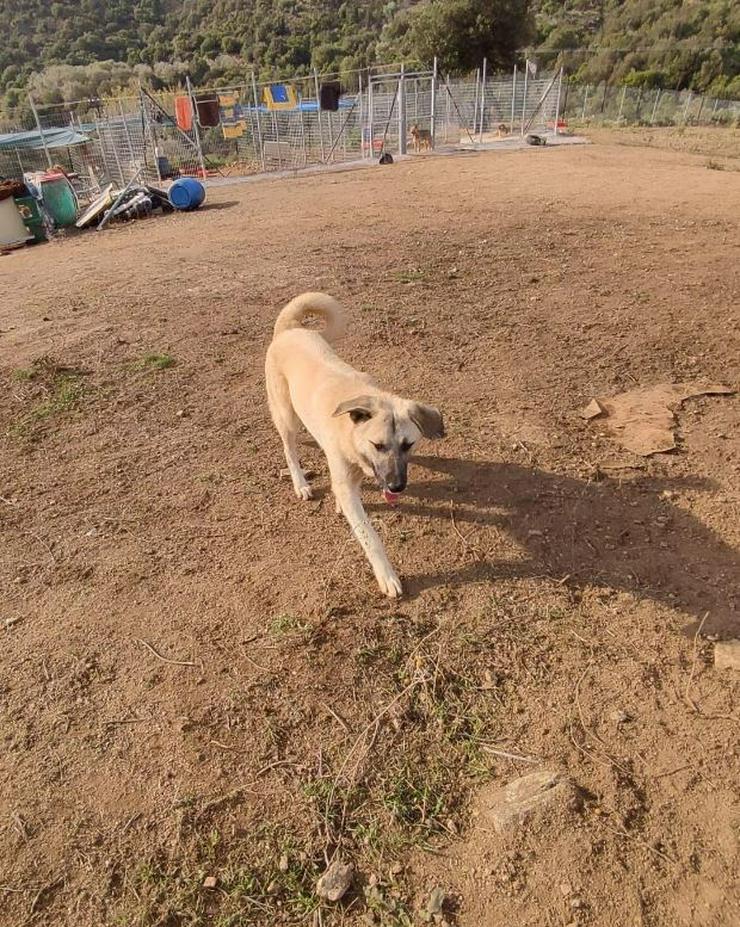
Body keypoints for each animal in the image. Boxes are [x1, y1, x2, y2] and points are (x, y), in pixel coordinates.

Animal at [264, 294, 442, 600]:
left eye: (408, 444)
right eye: (378, 445)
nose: (396, 487)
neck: (353, 437)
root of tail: (289, 329)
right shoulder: (350, 481)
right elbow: (369, 536)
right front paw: (387, 576)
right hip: (287, 417)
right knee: (290, 450)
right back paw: (300, 483)